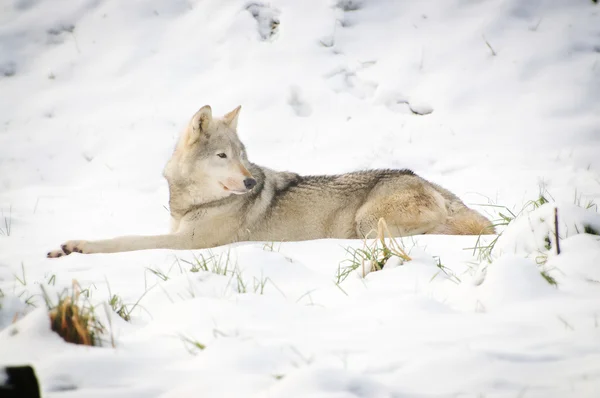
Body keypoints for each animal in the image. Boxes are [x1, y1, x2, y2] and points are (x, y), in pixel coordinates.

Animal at [47, 104, 494, 256]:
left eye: (243, 155)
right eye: (224, 156)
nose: (251, 184)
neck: (193, 204)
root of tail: (432, 185)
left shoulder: (186, 243)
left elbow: (126, 240)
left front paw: (76, 246)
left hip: (367, 224)